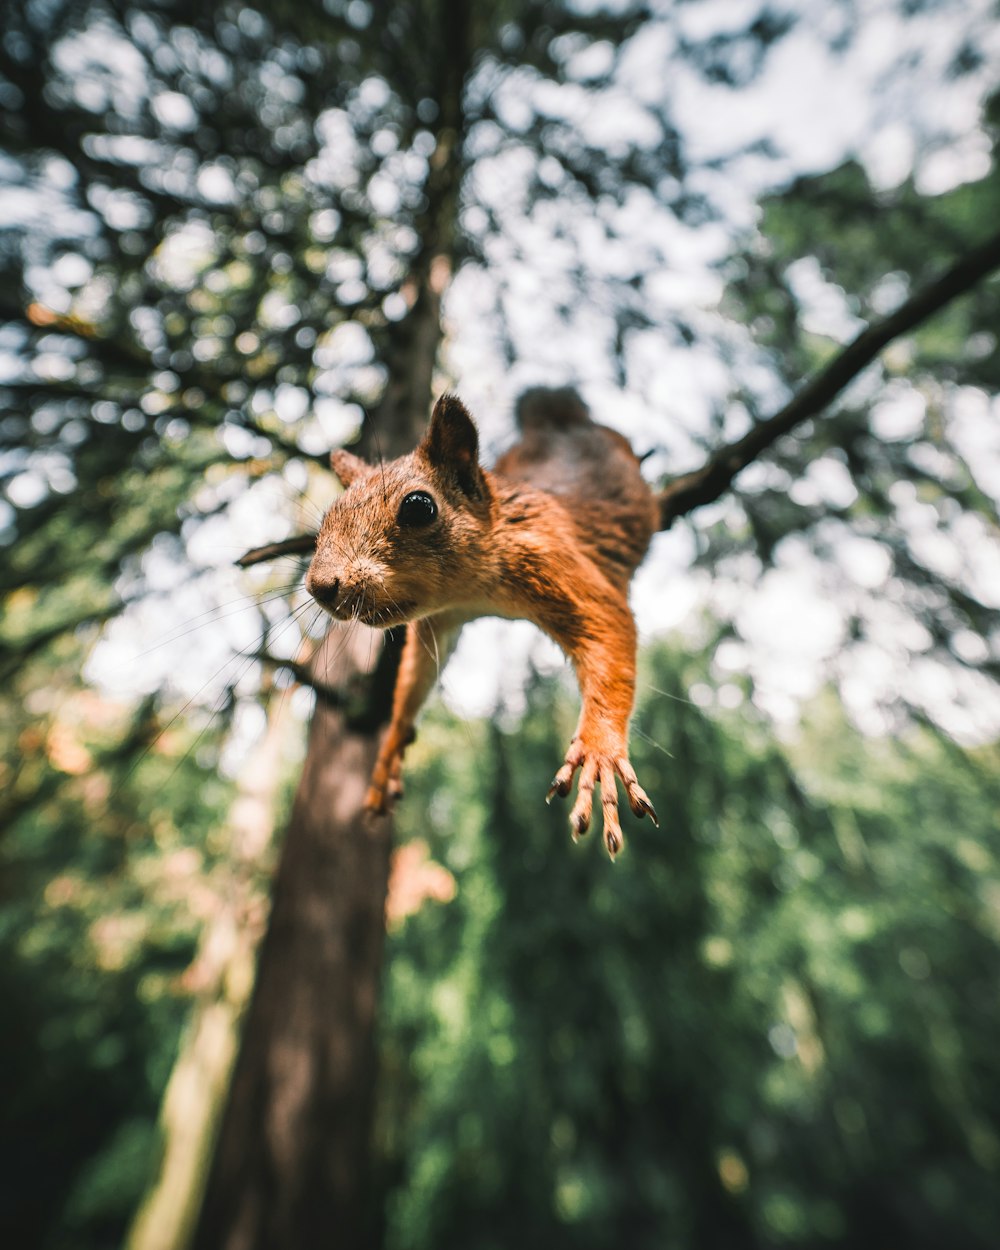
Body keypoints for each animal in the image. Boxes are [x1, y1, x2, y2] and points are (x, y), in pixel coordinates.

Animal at [305, 387, 665, 860]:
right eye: (327, 516)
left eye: (418, 507)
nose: (319, 586)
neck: (471, 591)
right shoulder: (439, 621)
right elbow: (417, 675)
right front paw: (391, 746)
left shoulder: (554, 560)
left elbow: (609, 624)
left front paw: (599, 751)